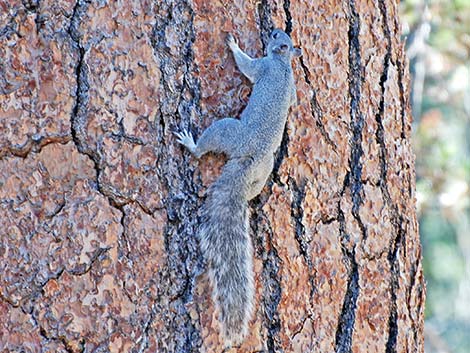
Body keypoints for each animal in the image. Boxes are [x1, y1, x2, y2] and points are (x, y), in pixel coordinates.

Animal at [173, 28, 302, 346]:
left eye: (277, 36)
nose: (272, 29)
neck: (283, 64)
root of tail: (244, 175)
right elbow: (294, 100)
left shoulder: (262, 67)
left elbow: (246, 66)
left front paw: (233, 45)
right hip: (262, 173)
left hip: (227, 131)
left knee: (206, 146)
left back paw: (191, 144)